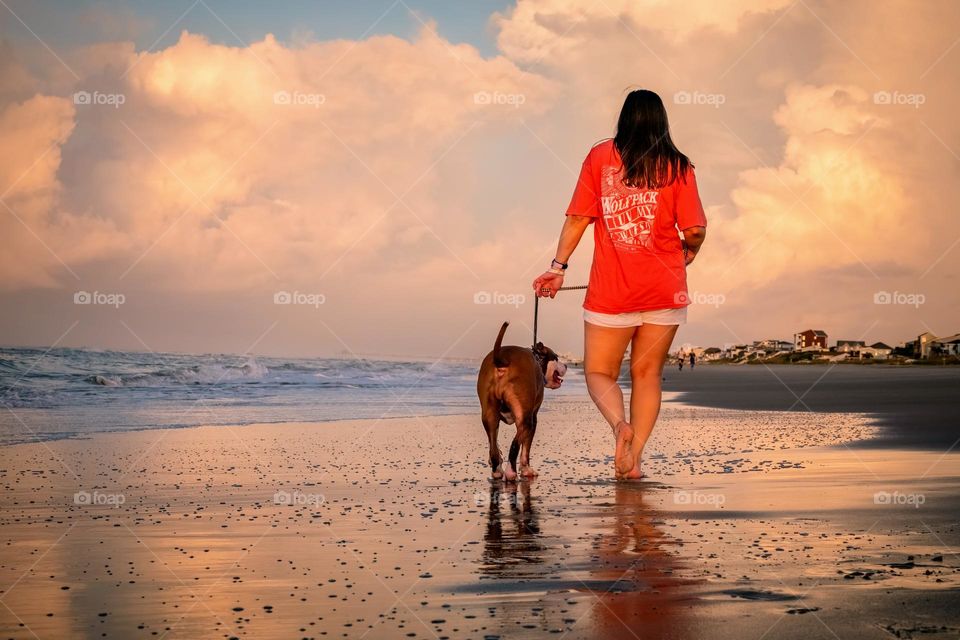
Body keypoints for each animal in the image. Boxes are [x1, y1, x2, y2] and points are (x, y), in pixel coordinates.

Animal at [476, 322, 568, 482]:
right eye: (556, 358)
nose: (567, 365)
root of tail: (502, 359)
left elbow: (494, 443)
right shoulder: (533, 418)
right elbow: (526, 447)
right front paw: (526, 469)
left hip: (489, 414)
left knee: (493, 446)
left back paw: (497, 471)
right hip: (525, 419)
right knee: (515, 445)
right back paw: (511, 472)